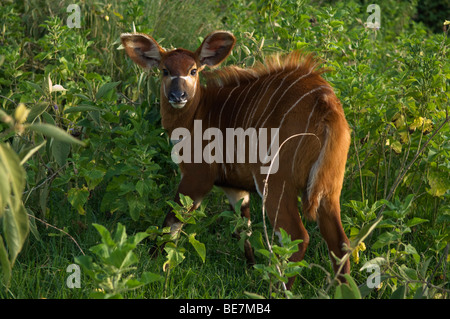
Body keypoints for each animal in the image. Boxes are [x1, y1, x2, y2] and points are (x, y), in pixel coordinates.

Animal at [121, 30, 354, 290]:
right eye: (164, 70)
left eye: (193, 70)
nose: (177, 96)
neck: (199, 113)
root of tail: (326, 104)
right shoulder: (235, 189)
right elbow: (243, 230)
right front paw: (251, 269)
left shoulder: (197, 177)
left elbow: (173, 219)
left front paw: (151, 262)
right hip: (329, 189)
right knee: (341, 242)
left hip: (275, 184)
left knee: (298, 236)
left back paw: (280, 289)